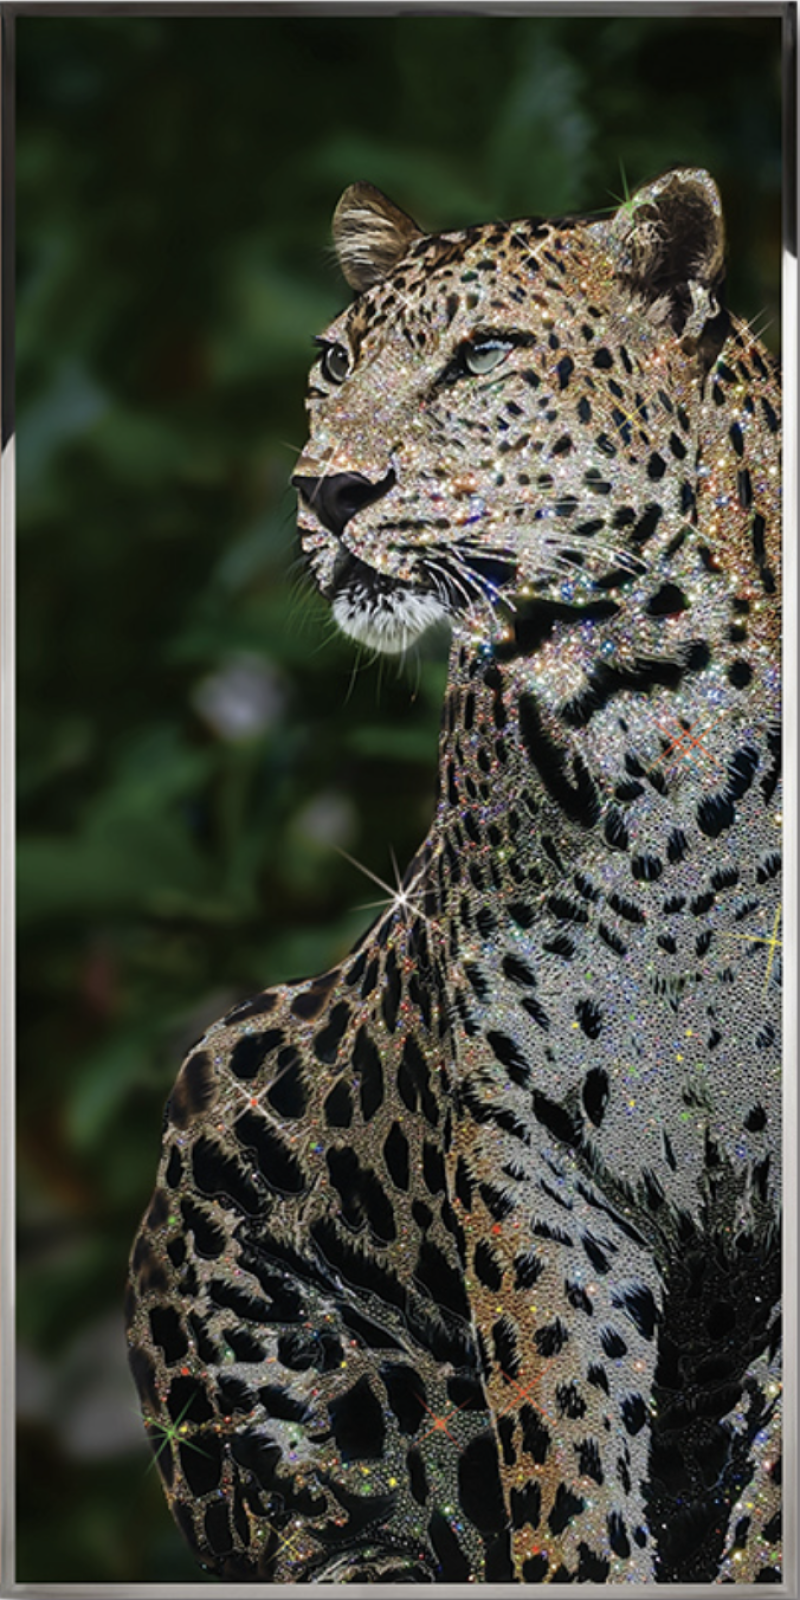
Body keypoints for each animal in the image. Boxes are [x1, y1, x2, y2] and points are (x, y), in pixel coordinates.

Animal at [127, 168, 782, 1584]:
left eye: (480, 357)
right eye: (333, 363)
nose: (328, 491)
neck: (648, 717)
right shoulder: (528, 1157)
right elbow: (563, 1452)